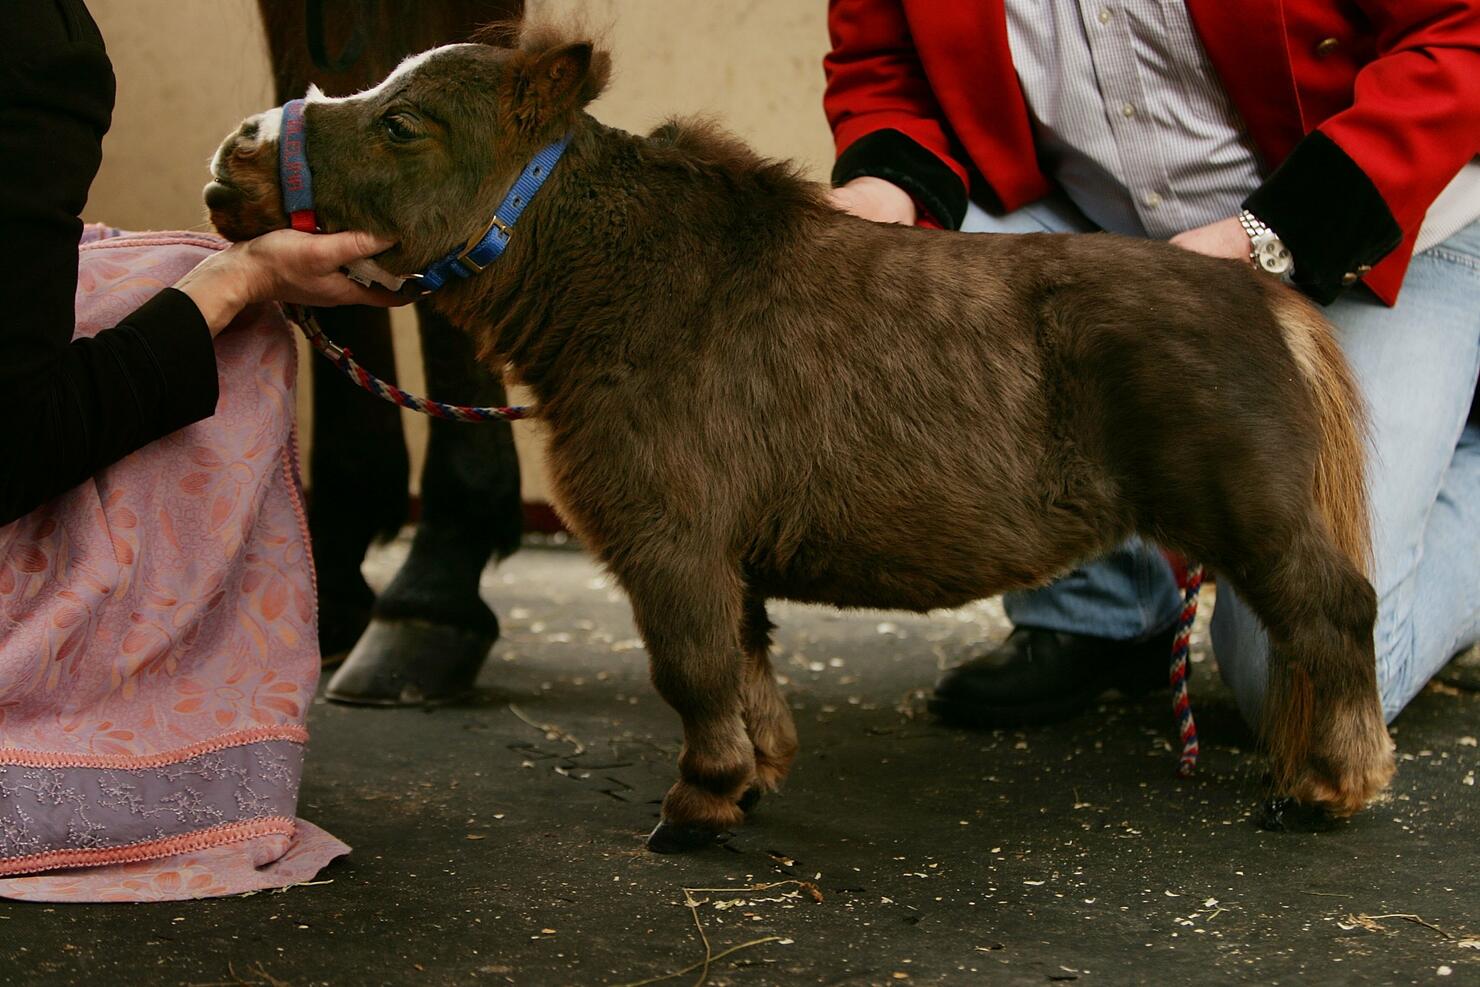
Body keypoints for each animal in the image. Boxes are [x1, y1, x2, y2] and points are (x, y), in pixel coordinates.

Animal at [208, 27, 1397, 852]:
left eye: (404, 123)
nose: (234, 158)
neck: (630, 290)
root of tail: (1269, 299)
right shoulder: (722, 559)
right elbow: (743, 665)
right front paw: (752, 775)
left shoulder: (672, 545)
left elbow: (693, 671)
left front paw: (697, 806)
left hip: (1256, 526)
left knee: (1334, 619)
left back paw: (1329, 787)